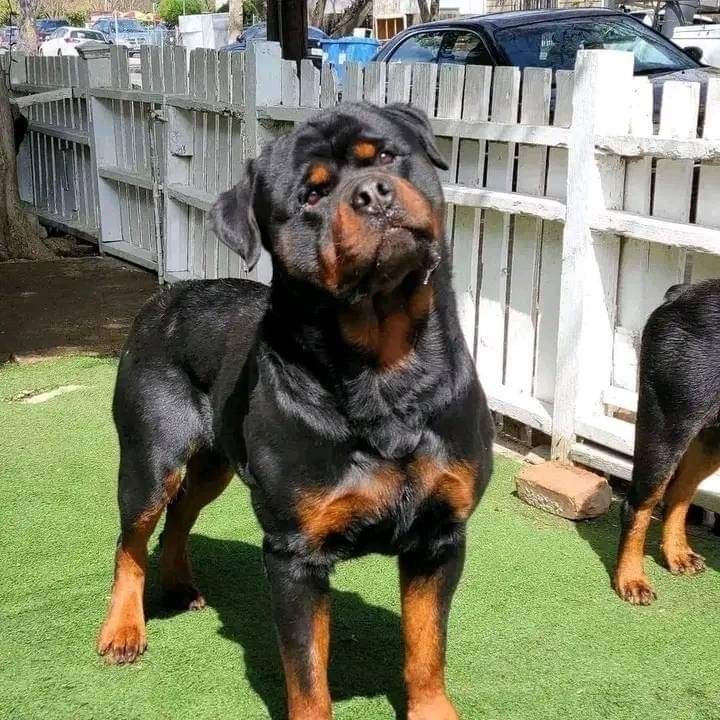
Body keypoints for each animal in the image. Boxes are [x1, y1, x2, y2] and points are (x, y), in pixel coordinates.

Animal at [97, 102, 496, 720]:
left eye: (386, 155)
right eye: (311, 196)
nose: (373, 193)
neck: (385, 369)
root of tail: (164, 295)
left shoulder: (440, 535)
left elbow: (427, 646)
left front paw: (432, 708)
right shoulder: (293, 553)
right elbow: (307, 671)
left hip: (214, 461)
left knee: (182, 512)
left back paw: (180, 584)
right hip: (149, 455)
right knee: (133, 537)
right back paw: (122, 629)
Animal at [612, 278, 720, 604]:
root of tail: (681, 293)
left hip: (710, 438)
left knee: (680, 492)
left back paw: (676, 553)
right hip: (668, 424)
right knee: (638, 504)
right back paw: (631, 578)